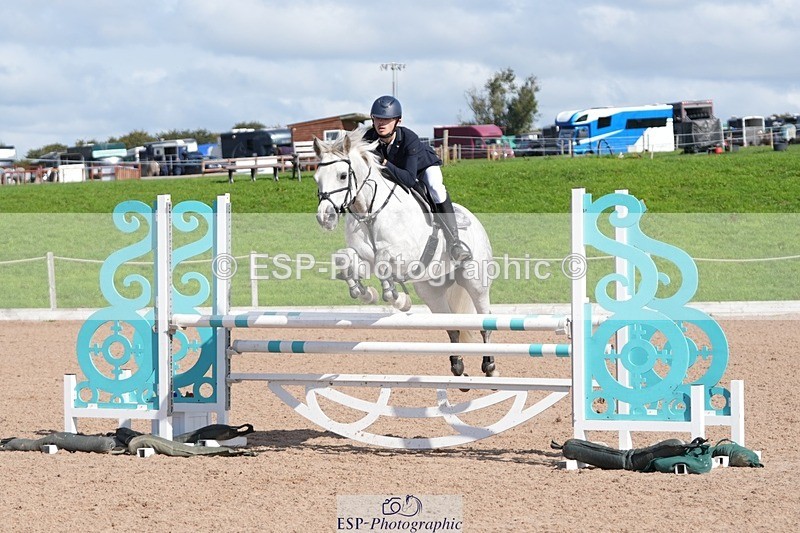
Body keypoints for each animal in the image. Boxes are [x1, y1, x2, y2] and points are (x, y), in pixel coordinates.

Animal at [312, 128, 498, 378]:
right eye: (316, 178)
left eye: (343, 175)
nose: (326, 217)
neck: (370, 212)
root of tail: (475, 221)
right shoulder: (362, 256)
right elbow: (345, 258)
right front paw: (365, 292)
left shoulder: (407, 256)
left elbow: (384, 260)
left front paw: (397, 297)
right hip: (431, 291)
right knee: (452, 326)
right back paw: (457, 366)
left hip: (475, 281)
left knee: (484, 320)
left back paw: (489, 365)